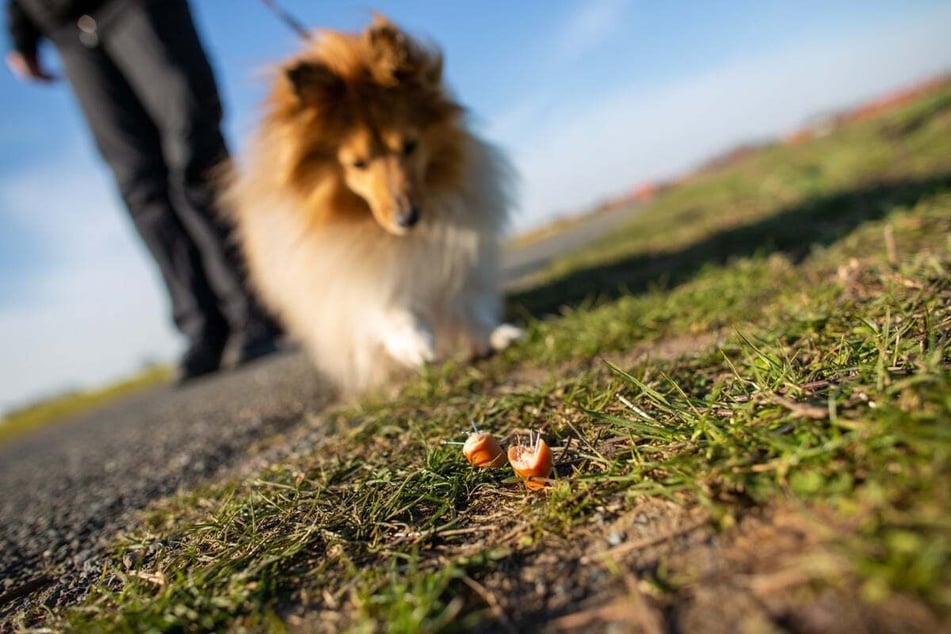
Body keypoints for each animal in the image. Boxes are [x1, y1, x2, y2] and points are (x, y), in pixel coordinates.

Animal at [228, 17, 524, 392]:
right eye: (357, 164)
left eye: (410, 145)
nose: (407, 218)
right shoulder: (338, 270)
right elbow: (378, 303)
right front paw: (416, 342)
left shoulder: (458, 254)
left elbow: (465, 298)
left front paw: (491, 334)